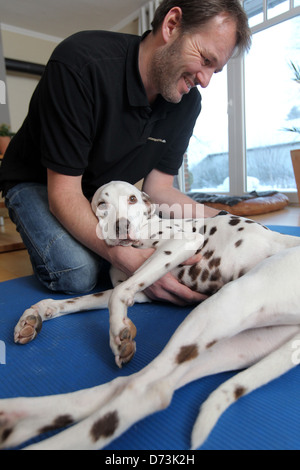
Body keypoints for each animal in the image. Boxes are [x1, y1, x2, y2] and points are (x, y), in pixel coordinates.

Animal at [0, 182, 300, 450]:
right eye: (102, 204)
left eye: (132, 199)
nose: (121, 226)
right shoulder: (140, 291)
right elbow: (81, 300)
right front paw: (36, 313)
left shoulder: (181, 243)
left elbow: (118, 293)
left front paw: (117, 330)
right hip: (232, 343)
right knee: (126, 383)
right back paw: (15, 416)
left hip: (222, 307)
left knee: (146, 390)